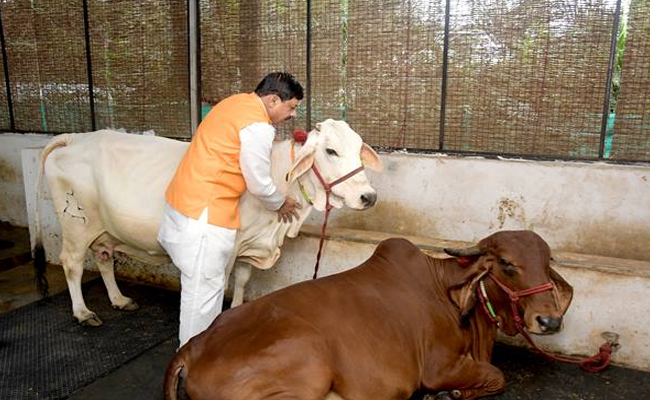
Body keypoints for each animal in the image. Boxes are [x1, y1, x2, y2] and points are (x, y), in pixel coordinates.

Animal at [34, 119, 380, 324]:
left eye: (358, 148)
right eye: (331, 151)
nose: (369, 197)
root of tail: (74, 138)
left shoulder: (251, 245)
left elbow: (243, 280)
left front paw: (237, 310)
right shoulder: (227, 246)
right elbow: (220, 285)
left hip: (104, 230)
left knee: (104, 260)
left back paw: (119, 300)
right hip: (76, 225)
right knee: (72, 264)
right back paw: (83, 312)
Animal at [163, 231, 572, 400]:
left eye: (548, 261)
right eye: (506, 264)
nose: (549, 321)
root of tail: (191, 347)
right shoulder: (437, 367)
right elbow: (497, 376)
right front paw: (452, 394)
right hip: (308, 365)